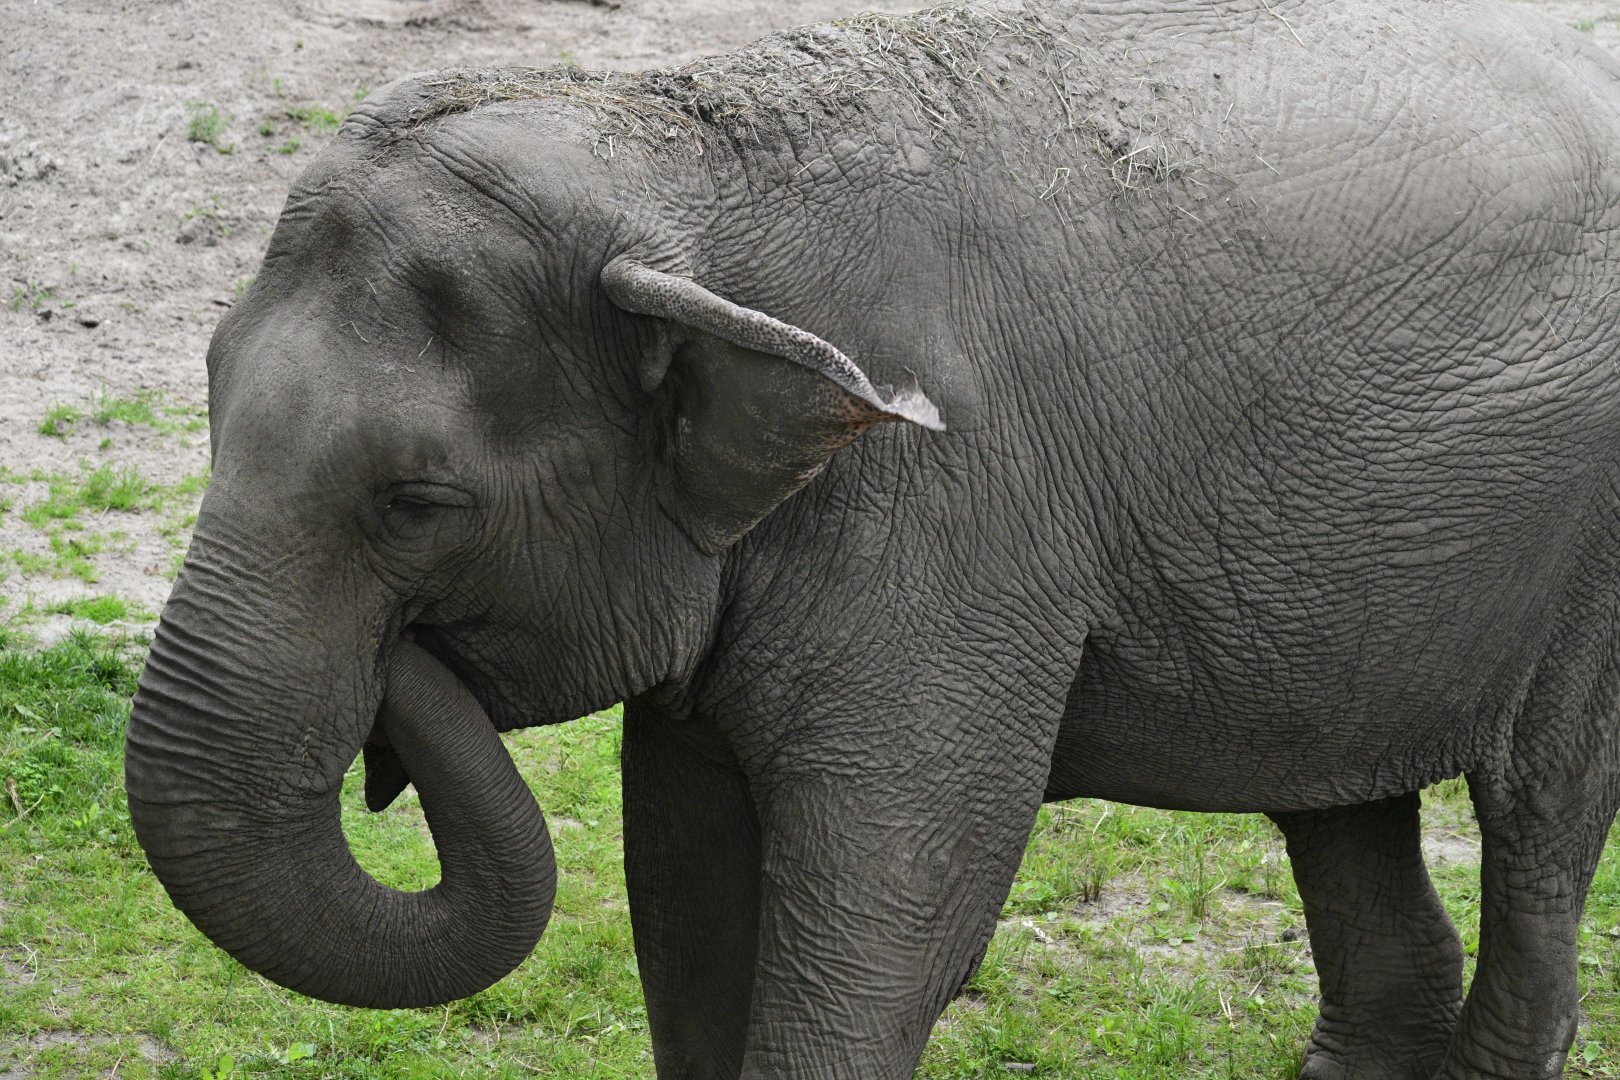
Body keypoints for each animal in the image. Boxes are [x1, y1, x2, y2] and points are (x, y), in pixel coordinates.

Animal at [123, 0, 1620, 1076]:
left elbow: (904, 894)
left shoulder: (949, 513)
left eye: (419, 504)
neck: (679, 156)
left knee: (1542, 811)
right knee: (1338, 796)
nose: (403, 682)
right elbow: (684, 878)